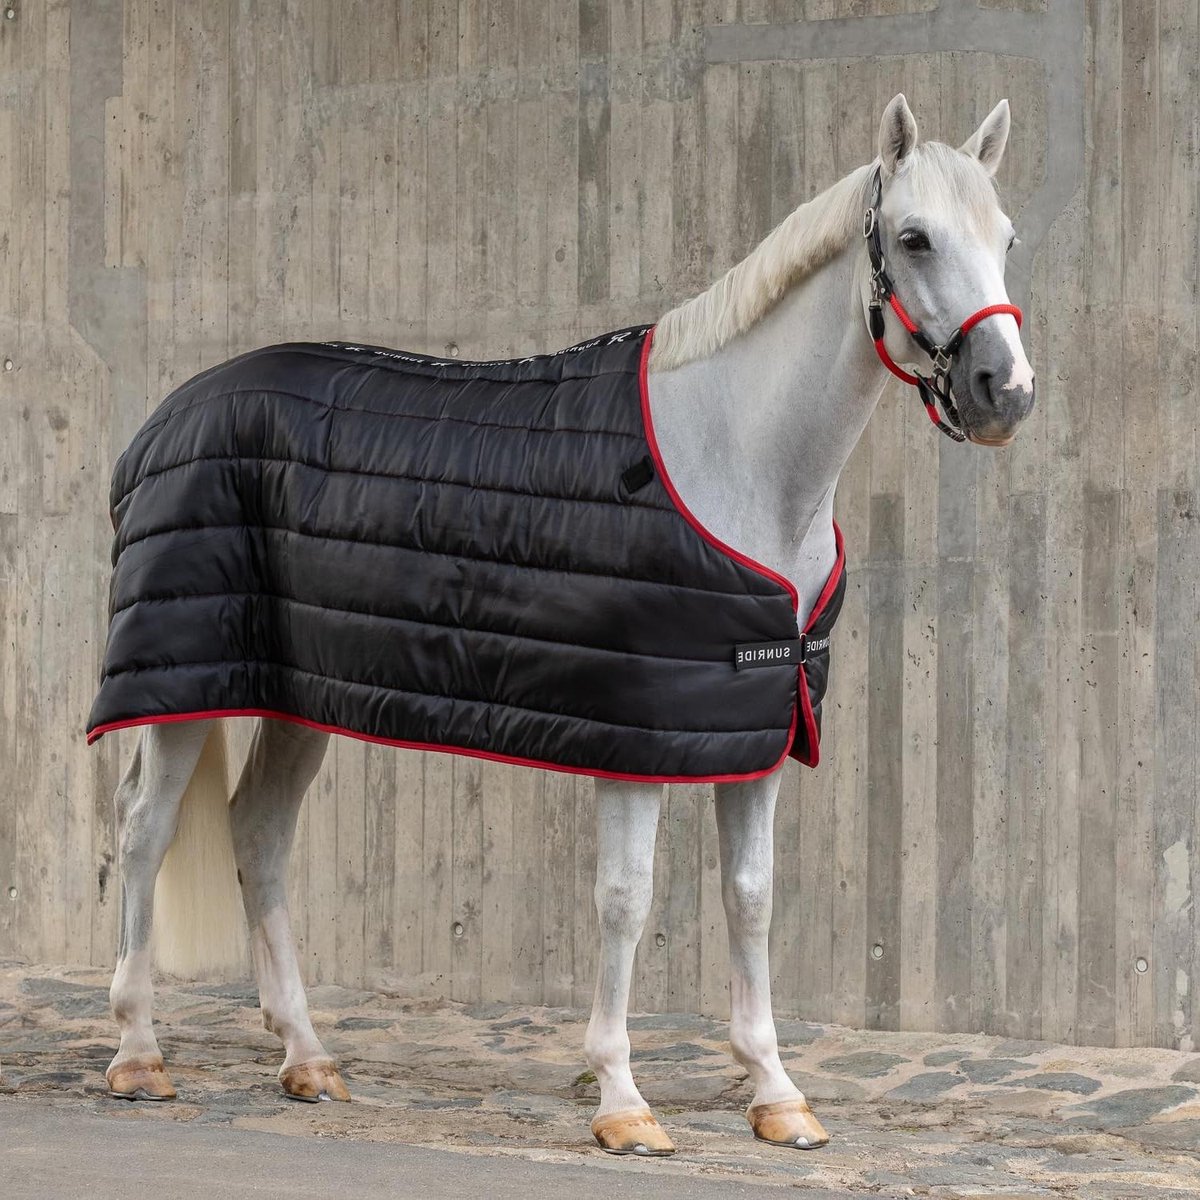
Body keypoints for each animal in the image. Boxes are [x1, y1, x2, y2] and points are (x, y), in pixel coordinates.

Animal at [64, 94, 1034, 1157]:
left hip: (298, 695)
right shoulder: (637, 735)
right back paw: (138, 1056)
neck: (734, 458)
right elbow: (625, 901)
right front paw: (623, 1101)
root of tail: (163, 420)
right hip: (180, 686)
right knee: (144, 831)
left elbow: (750, 896)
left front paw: (778, 1095)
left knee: (259, 831)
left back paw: (309, 1060)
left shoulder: (757, 729)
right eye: (914, 237)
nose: (1005, 391)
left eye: (1007, 238)